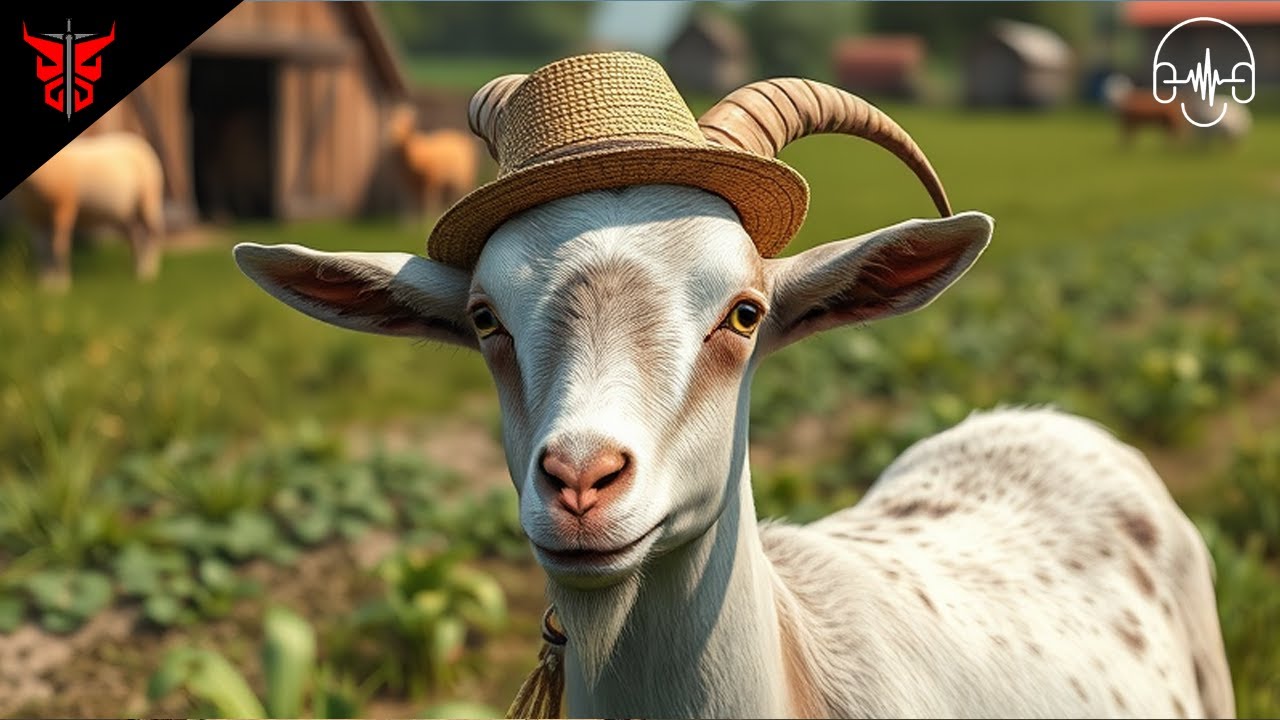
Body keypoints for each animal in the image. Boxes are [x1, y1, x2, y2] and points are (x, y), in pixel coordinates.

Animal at [10, 130, 165, 292]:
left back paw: (149, 271)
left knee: (154, 232)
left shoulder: (65, 208)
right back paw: (136, 271)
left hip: (148, 199)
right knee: (133, 235)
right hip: (123, 213)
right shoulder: (34, 217)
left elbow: (58, 247)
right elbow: (41, 250)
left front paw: (61, 284)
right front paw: (45, 283)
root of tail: (136, 140)